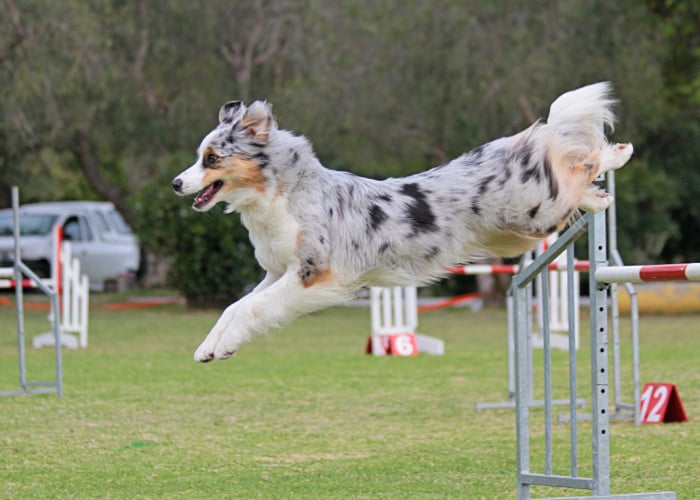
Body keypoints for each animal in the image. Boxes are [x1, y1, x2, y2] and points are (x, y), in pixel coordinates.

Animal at [172, 83, 632, 364]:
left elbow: (252, 307)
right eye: (199, 157)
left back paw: (618, 154)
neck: (284, 193)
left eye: (211, 158)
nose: (176, 183)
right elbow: (235, 306)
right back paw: (599, 193)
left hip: (537, 212)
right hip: (519, 228)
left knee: (579, 157)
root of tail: (510, 148)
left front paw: (224, 346)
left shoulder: (313, 273)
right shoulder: (277, 271)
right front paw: (208, 347)